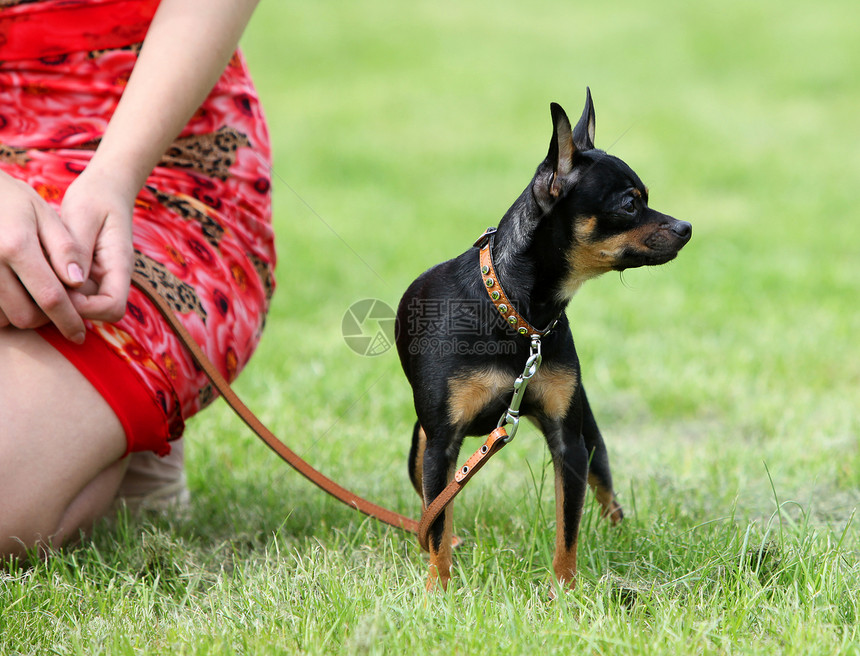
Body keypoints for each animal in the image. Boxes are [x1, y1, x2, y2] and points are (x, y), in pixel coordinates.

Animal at [396, 88, 692, 588]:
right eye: (630, 205)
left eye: (646, 199)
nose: (687, 228)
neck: (521, 317)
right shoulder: (442, 446)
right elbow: (436, 526)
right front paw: (438, 589)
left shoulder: (568, 441)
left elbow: (567, 529)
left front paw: (566, 591)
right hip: (420, 451)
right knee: (431, 510)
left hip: (591, 437)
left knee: (606, 491)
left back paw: (620, 534)